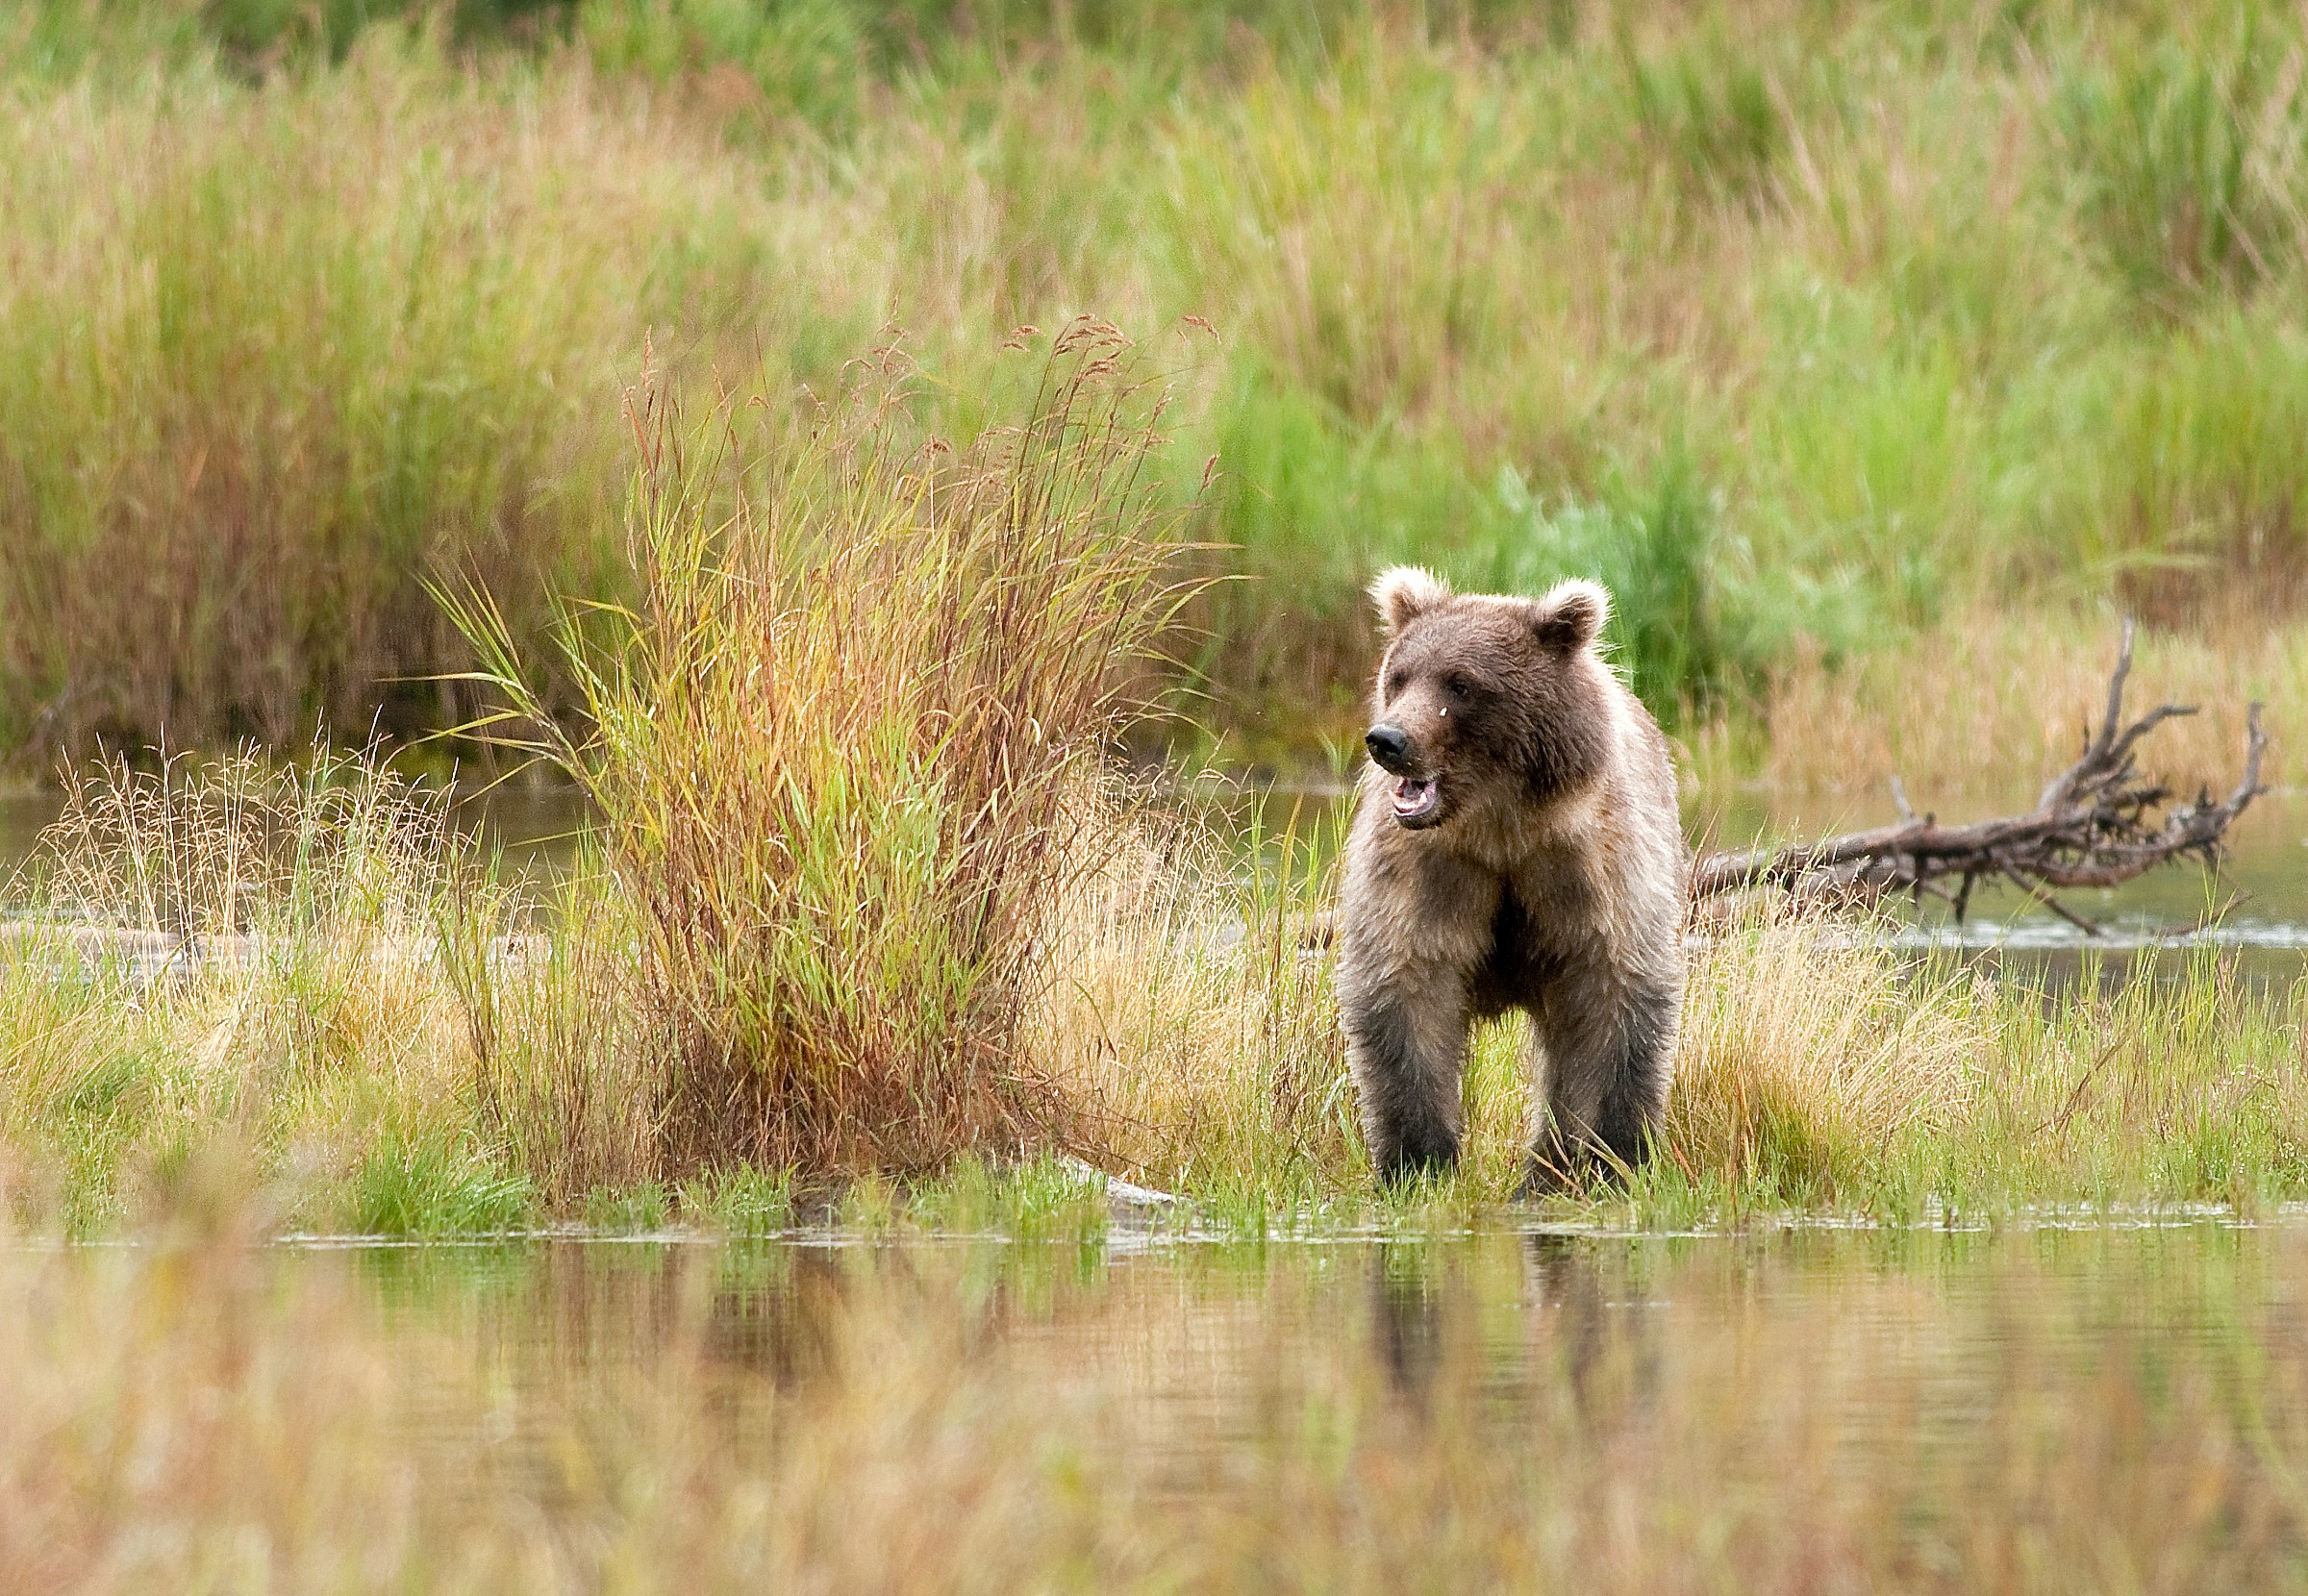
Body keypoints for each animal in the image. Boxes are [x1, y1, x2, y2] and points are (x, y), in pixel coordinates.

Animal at [1335, 566, 1689, 1192]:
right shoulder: (1427, 869)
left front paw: (1608, 1159)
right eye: (1398, 676)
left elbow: (1615, 995)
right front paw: (1418, 1161)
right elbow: (1405, 988)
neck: (1500, 827)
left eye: (1460, 684)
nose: (1389, 740)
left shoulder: (1588, 863)